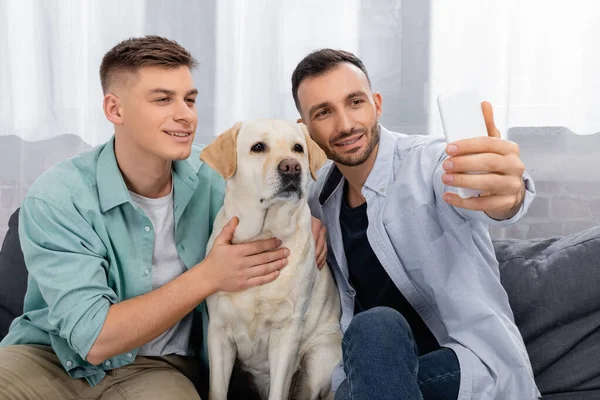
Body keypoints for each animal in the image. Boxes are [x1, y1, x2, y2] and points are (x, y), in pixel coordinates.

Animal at [200, 119, 342, 400]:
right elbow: (217, 390)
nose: (292, 167)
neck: (263, 234)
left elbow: (279, 390)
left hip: (320, 356)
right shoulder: (219, 333)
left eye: (298, 148)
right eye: (258, 147)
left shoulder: (287, 334)